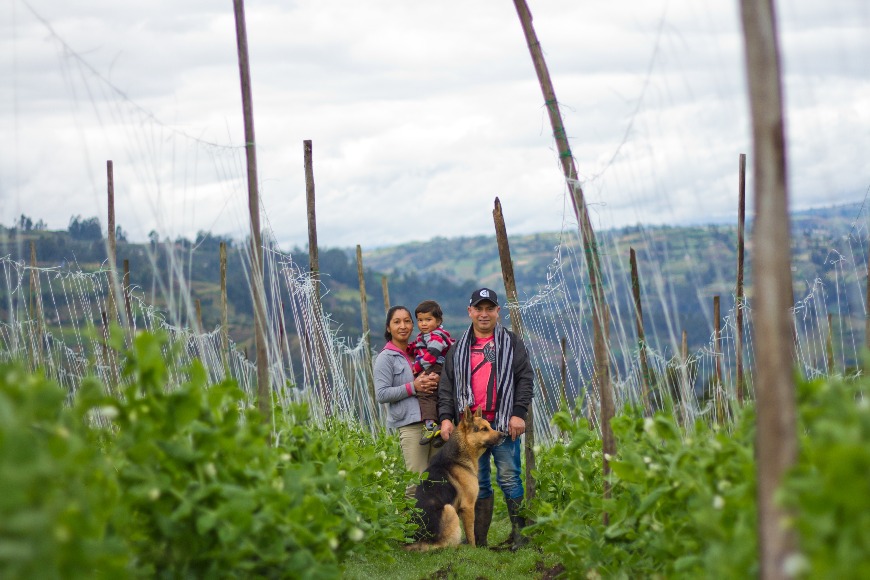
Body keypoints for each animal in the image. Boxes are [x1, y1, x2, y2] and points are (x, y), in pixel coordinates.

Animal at [404, 406, 500, 552]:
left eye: (489, 426)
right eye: (484, 429)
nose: (504, 435)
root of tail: (420, 540)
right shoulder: (468, 507)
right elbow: (471, 533)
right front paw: (473, 549)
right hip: (449, 509)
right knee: (446, 546)